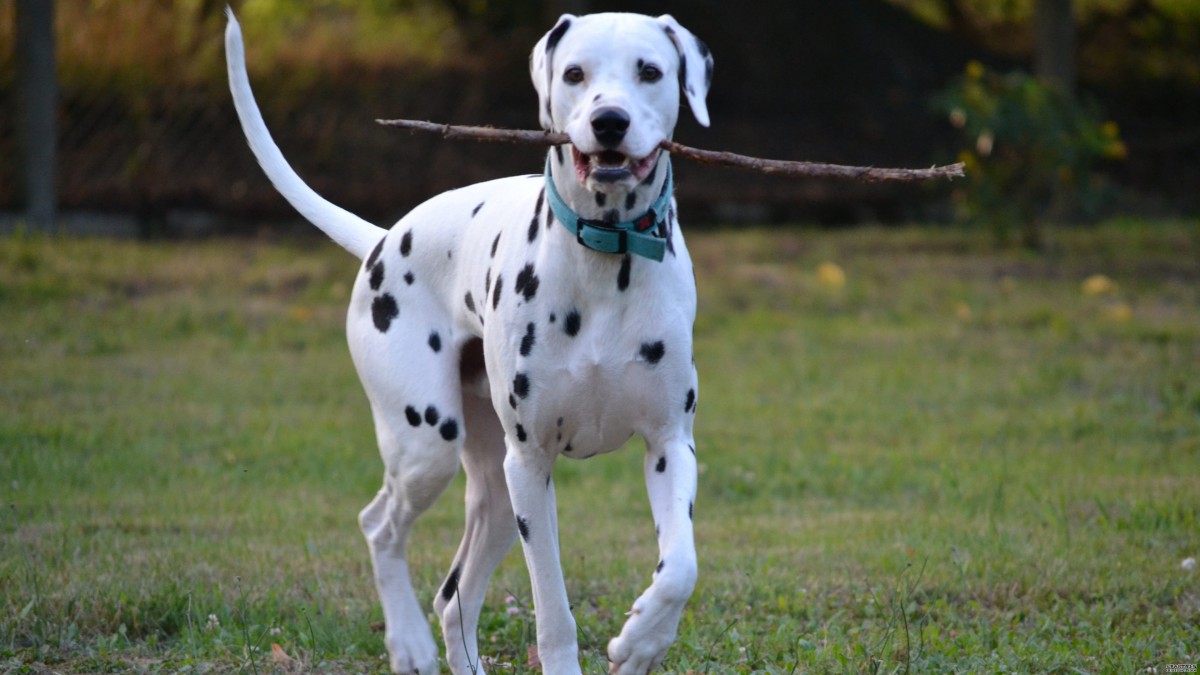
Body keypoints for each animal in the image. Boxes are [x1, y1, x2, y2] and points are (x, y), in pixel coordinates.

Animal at [225, 10, 710, 672]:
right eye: (575, 74)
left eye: (650, 72)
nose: (609, 121)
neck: (603, 258)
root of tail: (383, 238)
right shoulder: (531, 466)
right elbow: (553, 612)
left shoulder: (669, 447)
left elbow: (681, 568)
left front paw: (641, 642)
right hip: (430, 445)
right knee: (380, 526)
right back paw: (408, 641)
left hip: (498, 496)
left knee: (453, 597)